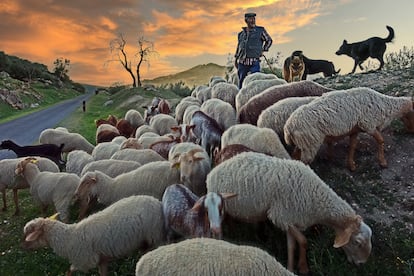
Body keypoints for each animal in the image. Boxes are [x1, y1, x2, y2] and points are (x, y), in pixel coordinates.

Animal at [23, 194, 166, 276]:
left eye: (30, 234)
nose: (23, 247)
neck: (68, 238)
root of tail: (157, 202)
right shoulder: (102, 260)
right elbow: (102, 273)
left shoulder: (85, 260)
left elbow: (70, 270)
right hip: (145, 240)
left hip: (155, 236)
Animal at [207, 152, 372, 274]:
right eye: (357, 242)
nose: (362, 263)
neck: (316, 198)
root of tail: (212, 172)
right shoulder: (281, 217)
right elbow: (304, 241)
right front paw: (303, 267)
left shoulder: (290, 220)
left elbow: (292, 245)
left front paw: (291, 267)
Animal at [284, 88, 414, 170]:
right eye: (411, 114)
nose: (411, 131)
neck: (385, 106)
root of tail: (289, 127)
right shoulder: (368, 124)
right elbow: (381, 140)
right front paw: (382, 162)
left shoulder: (355, 130)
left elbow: (352, 146)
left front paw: (351, 165)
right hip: (311, 143)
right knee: (304, 161)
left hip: (303, 143)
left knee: (295, 156)